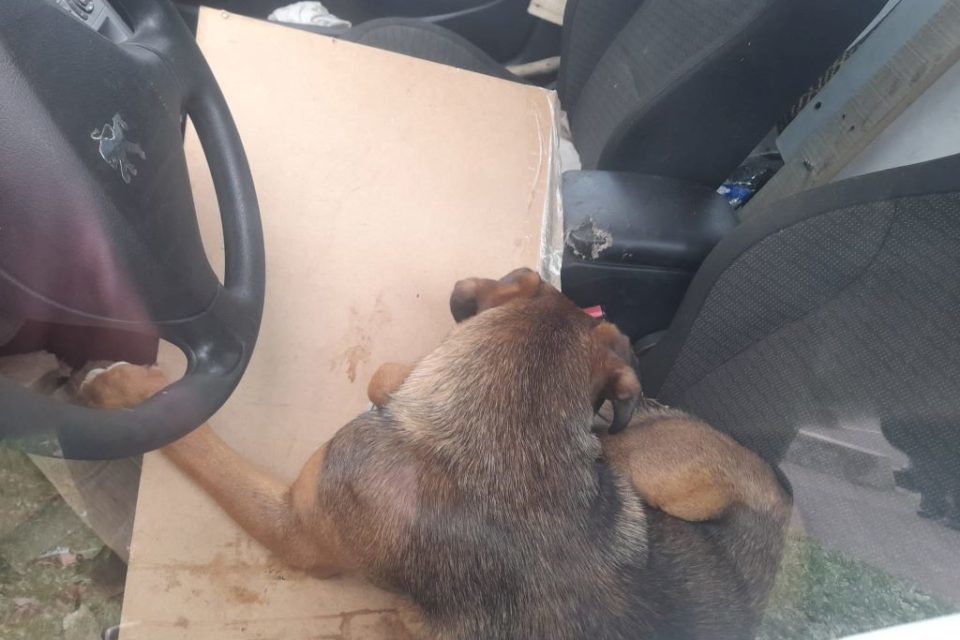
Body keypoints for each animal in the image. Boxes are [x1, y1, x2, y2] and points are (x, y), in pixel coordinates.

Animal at [81, 268, 791, 639]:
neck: (505, 438)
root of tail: (785, 500)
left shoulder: (300, 525)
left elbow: (202, 446)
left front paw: (124, 389)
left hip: (644, 460)